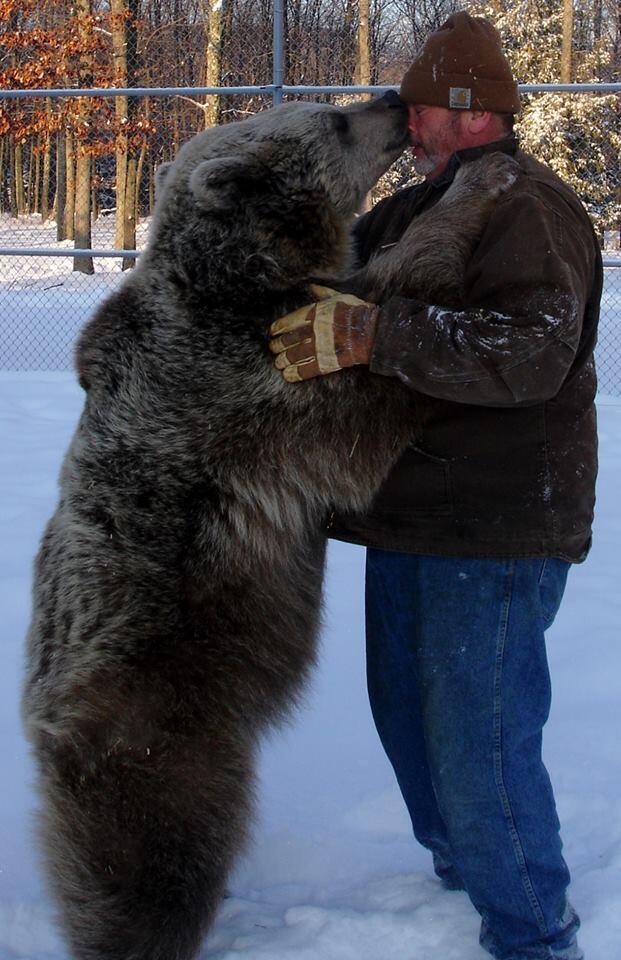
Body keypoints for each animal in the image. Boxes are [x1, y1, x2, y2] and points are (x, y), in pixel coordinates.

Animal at [23, 95, 520, 960]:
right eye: (332, 121)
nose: (389, 99)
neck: (244, 277)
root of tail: (42, 725)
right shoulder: (244, 385)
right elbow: (367, 370)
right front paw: (480, 181)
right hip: (157, 719)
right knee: (152, 856)